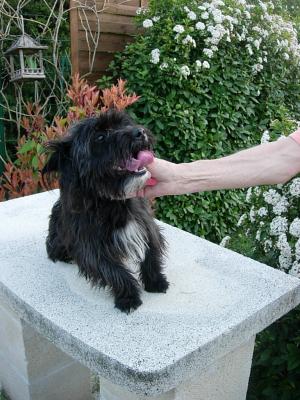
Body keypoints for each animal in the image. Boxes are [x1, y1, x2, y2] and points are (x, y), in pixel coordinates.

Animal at [42, 108, 169, 312]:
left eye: (124, 124)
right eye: (100, 137)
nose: (140, 131)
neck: (113, 202)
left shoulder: (146, 225)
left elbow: (152, 252)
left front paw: (155, 281)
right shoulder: (91, 246)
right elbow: (113, 271)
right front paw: (128, 297)